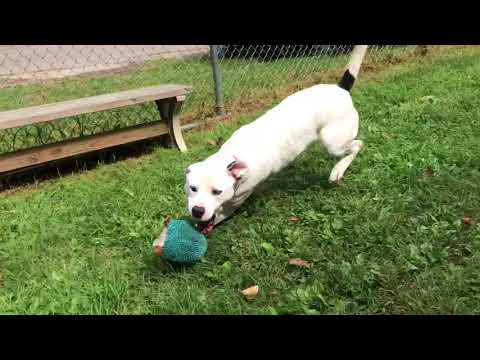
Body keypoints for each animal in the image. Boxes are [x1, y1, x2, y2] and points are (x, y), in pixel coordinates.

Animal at [186, 45, 370, 235]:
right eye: (192, 188)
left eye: (217, 191)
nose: (197, 210)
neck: (233, 156)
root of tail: (341, 89)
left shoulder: (238, 197)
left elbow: (221, 213)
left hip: (333, 142)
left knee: (357, 145)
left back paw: (338, 170)